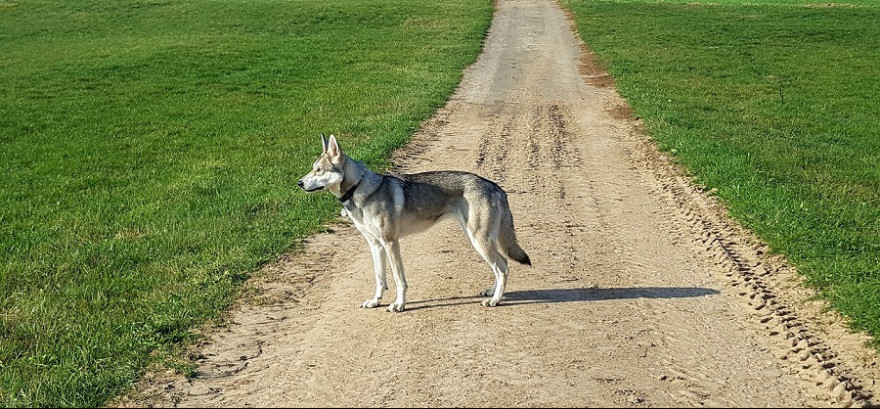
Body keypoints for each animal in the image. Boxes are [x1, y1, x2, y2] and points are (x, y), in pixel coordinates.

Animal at [298, 135, 528, 310]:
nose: (299, 183)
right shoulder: (375, 245)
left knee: (502, 268)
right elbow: (380, 279)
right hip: (480, 240)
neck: (359, 188)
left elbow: (399, 279)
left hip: (479, 240)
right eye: (312, 168)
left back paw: (495, 300)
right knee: (502, 264)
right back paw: (492, 292)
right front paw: (375, 301)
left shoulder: (391, 243)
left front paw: (399, 304)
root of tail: (495, 186)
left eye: (319, 170)